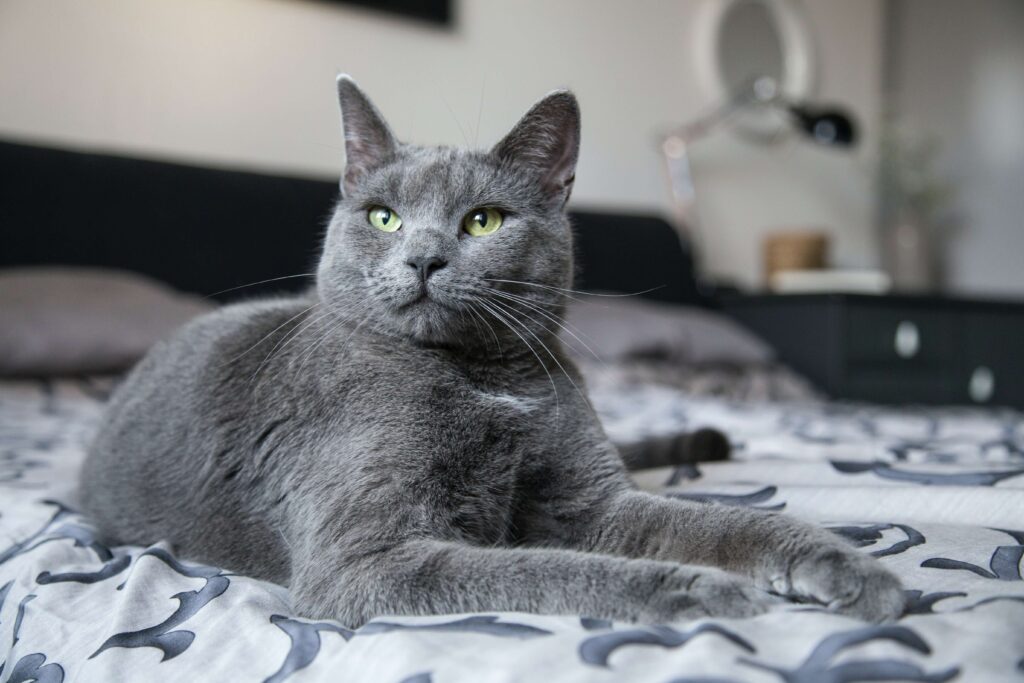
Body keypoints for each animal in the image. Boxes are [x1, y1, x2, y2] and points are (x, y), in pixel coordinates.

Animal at [79, 77, 905, 626]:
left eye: (483, 220)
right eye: (383, 217)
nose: (424, 257)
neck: (485, 378)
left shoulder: (591, 498)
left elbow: (729, 523)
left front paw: (850, 570)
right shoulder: (362, 562)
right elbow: (550, 569)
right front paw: (698, 589)